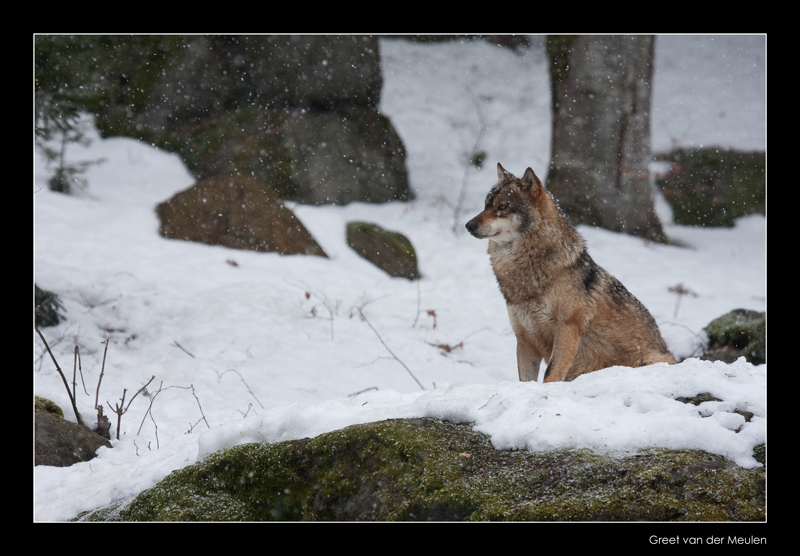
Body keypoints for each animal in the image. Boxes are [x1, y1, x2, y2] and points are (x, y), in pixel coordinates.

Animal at [466, 163, 672, 384]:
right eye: (486, 205)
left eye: (502, 207)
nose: (468, 225)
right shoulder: (524, 338)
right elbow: (525, 380)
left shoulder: (567, 328)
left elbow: (551, 373)